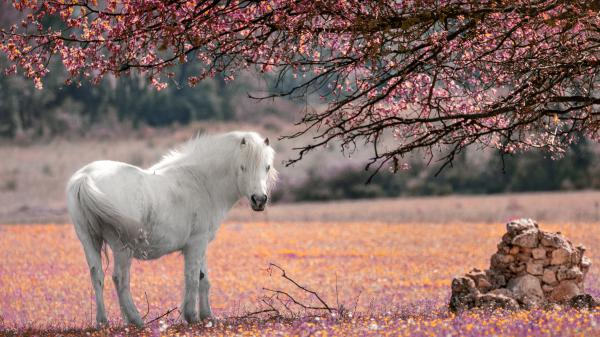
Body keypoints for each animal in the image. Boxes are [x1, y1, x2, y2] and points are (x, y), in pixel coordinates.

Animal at [67, 131, 278, 326]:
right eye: (243, 167)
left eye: (266, 167)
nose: (259, 200)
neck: (201, 181)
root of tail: (84, 178)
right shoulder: (196, 243)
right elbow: (192, 278)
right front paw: (192, 317)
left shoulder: (201, 244)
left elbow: (204, 279)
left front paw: (207, 316)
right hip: (121, 248)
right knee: (120, 279)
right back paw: (136, 320)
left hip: (89, 241)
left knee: (97, 276)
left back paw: (103, 321)